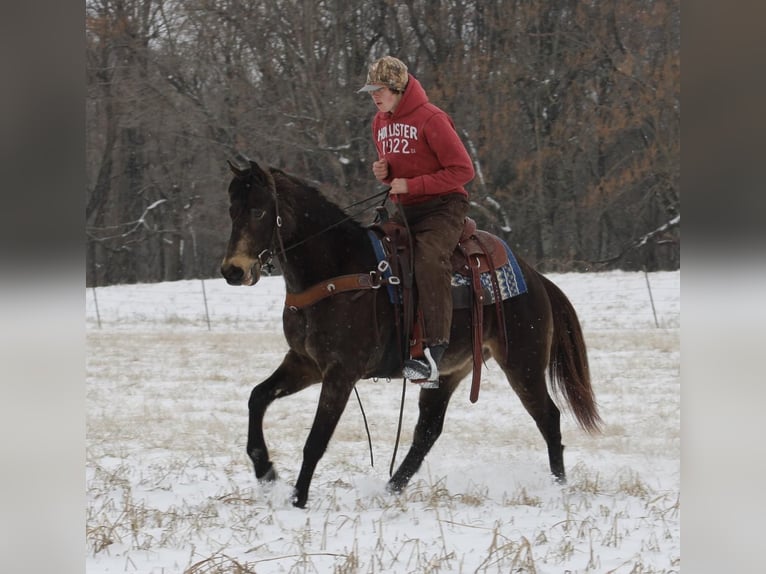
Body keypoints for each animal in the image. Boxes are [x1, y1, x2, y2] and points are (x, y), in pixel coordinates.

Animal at [219, 153, 604, 508]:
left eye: (259, 211)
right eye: (232, 210)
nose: (233, 271)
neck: (336, 269)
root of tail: (535, 277)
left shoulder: (341, 372)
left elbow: (316, 439)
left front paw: (297, 500)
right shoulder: (305, 363)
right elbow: (257, 397)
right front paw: (266, 471)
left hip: (523, 363)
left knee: (548, 418)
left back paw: (558, 488)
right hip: (448, 372)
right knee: (428, 431)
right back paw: (390, 489)